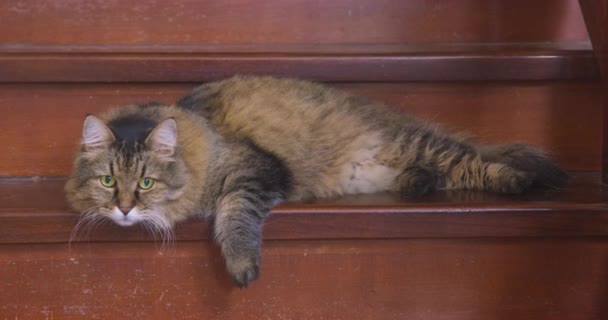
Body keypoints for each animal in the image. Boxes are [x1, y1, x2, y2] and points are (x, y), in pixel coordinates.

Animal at [64, 75, 568, 288]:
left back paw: (522, 180)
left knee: (472, 163)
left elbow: (233, 214)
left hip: (418, 144)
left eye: (146, 184)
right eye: (108, 181)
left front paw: (241, 265)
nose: (124, 208)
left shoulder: (254, 171)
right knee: (443, 175)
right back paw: (418, 185)